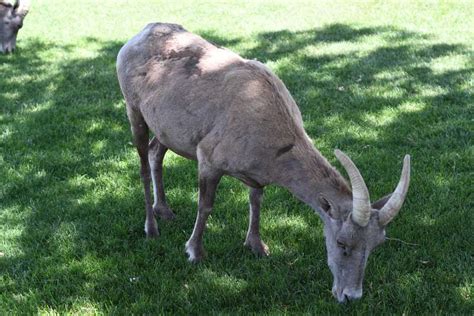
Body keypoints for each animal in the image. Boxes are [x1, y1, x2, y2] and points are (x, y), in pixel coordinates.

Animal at [116, 22, 410, 304]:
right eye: (341, 242)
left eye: (377, 244)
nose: (350, 296)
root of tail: (137, 36)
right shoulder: (208, 158)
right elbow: (206, 205)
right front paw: (195, 253)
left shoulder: (256, 175)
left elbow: (256, 200)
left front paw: (258, 247)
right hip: (134, 109)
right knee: (142, 163)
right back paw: (151, 228)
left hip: (166, 129)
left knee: (155, 152)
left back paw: (165, 211)